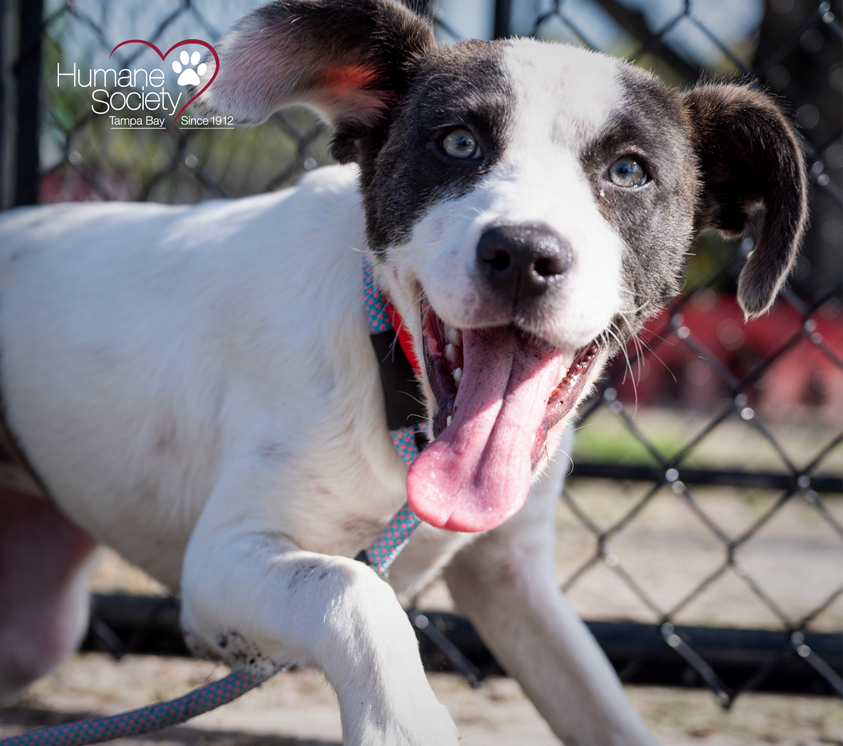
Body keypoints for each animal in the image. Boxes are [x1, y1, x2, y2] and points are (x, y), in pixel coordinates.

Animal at [0, 1, 808, 744]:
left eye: (629, 171)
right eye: (458, 142)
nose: (523, 253)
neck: (398, 400)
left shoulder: (513, 582)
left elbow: (604, 708)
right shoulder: (224, 560)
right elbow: (352, 587)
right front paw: (403, 719)